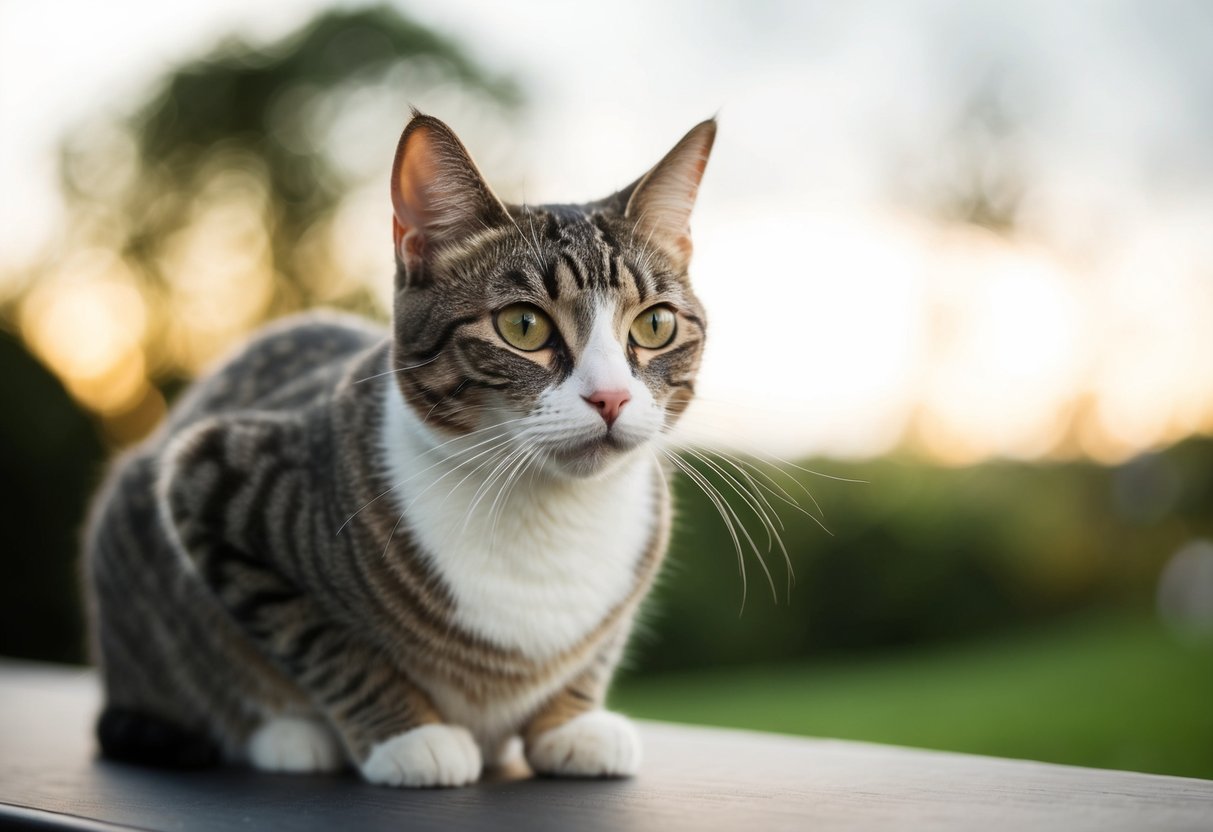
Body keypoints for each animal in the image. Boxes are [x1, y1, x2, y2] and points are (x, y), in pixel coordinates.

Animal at [85, 110, 713, 790]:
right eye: (523, 326)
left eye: (655, 325)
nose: (611, 398)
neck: (546, 506)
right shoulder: (208, 476)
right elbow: (324, 644)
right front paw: (410, 736)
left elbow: (596, 650)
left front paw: (570, 725)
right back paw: (288, 736)